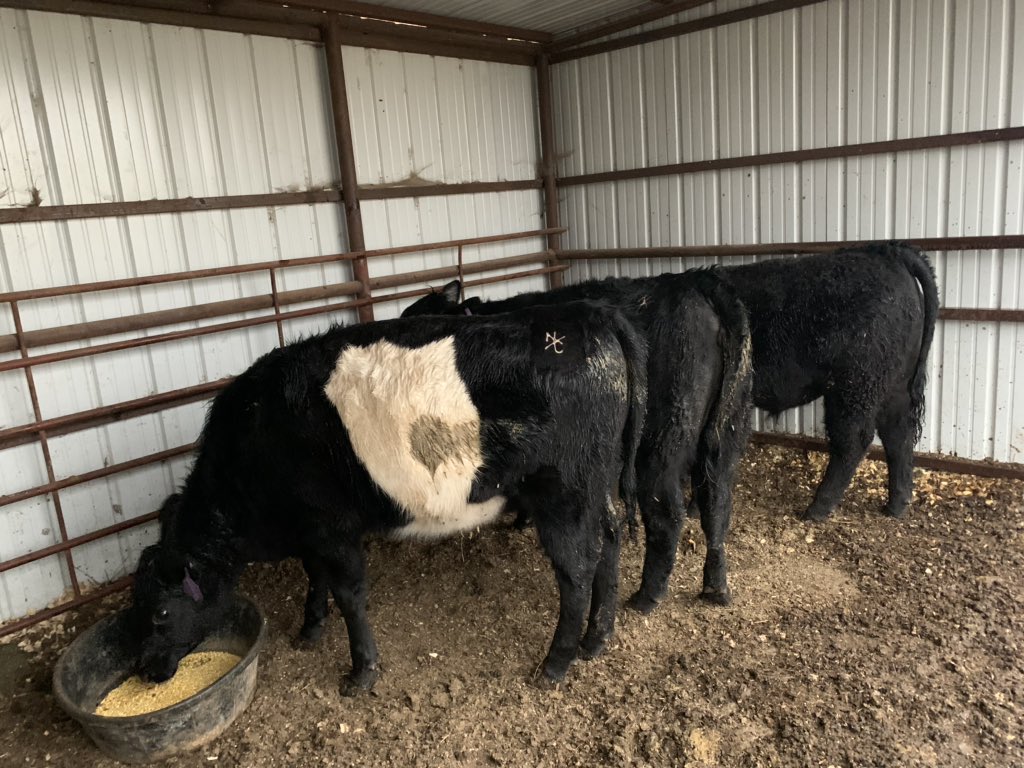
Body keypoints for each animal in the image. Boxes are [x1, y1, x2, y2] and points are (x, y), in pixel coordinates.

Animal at [128, 302, 647, 694]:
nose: (145, 670)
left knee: (576, 570)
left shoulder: (332, 528)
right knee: (611, 539)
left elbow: (349, 595)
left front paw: (360, 672)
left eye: (160, 612)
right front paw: (310, 629)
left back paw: (555, 664)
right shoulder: (312, 529)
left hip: (563, 494)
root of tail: (587, 315)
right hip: (596, 485)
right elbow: (315, 577)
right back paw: (596, 640)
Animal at [402, 270, 753, 614]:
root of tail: (697, 281)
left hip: (663, 440)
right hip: (726, 432)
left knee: (668, 515)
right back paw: (716, 586)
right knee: (717, 503)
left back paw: (646, 597)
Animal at [710, 242, 939, 521]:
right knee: (898, 436)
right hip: (894, 385)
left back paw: (818, 508)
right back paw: (896, 505)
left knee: (853, 441)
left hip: (854, 386)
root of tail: (887, 251)